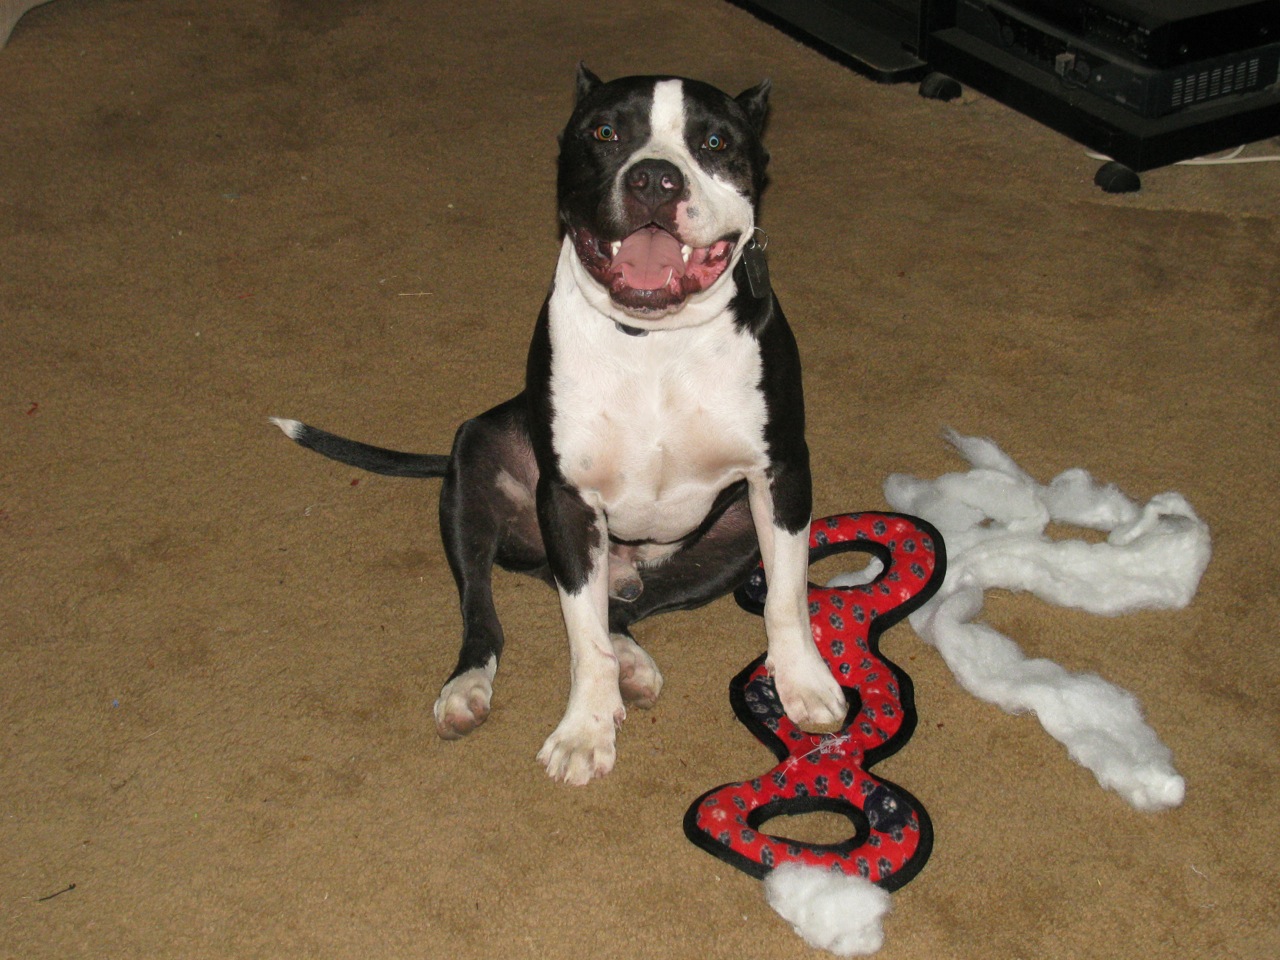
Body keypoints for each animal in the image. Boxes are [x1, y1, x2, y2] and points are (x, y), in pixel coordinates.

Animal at [273, 66, 847, 785]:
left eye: (714, 141)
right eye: (604, 132)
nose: (654, 178)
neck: (655, 340)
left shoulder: (782, 475)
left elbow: (786, 597)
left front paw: (804, 683)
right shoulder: (568, 501)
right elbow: (582, 639)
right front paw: (585, 731)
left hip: (732, 538)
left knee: (627, 609)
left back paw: (633, 656)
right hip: (478, 466)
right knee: (487, 613)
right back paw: (468, 688)